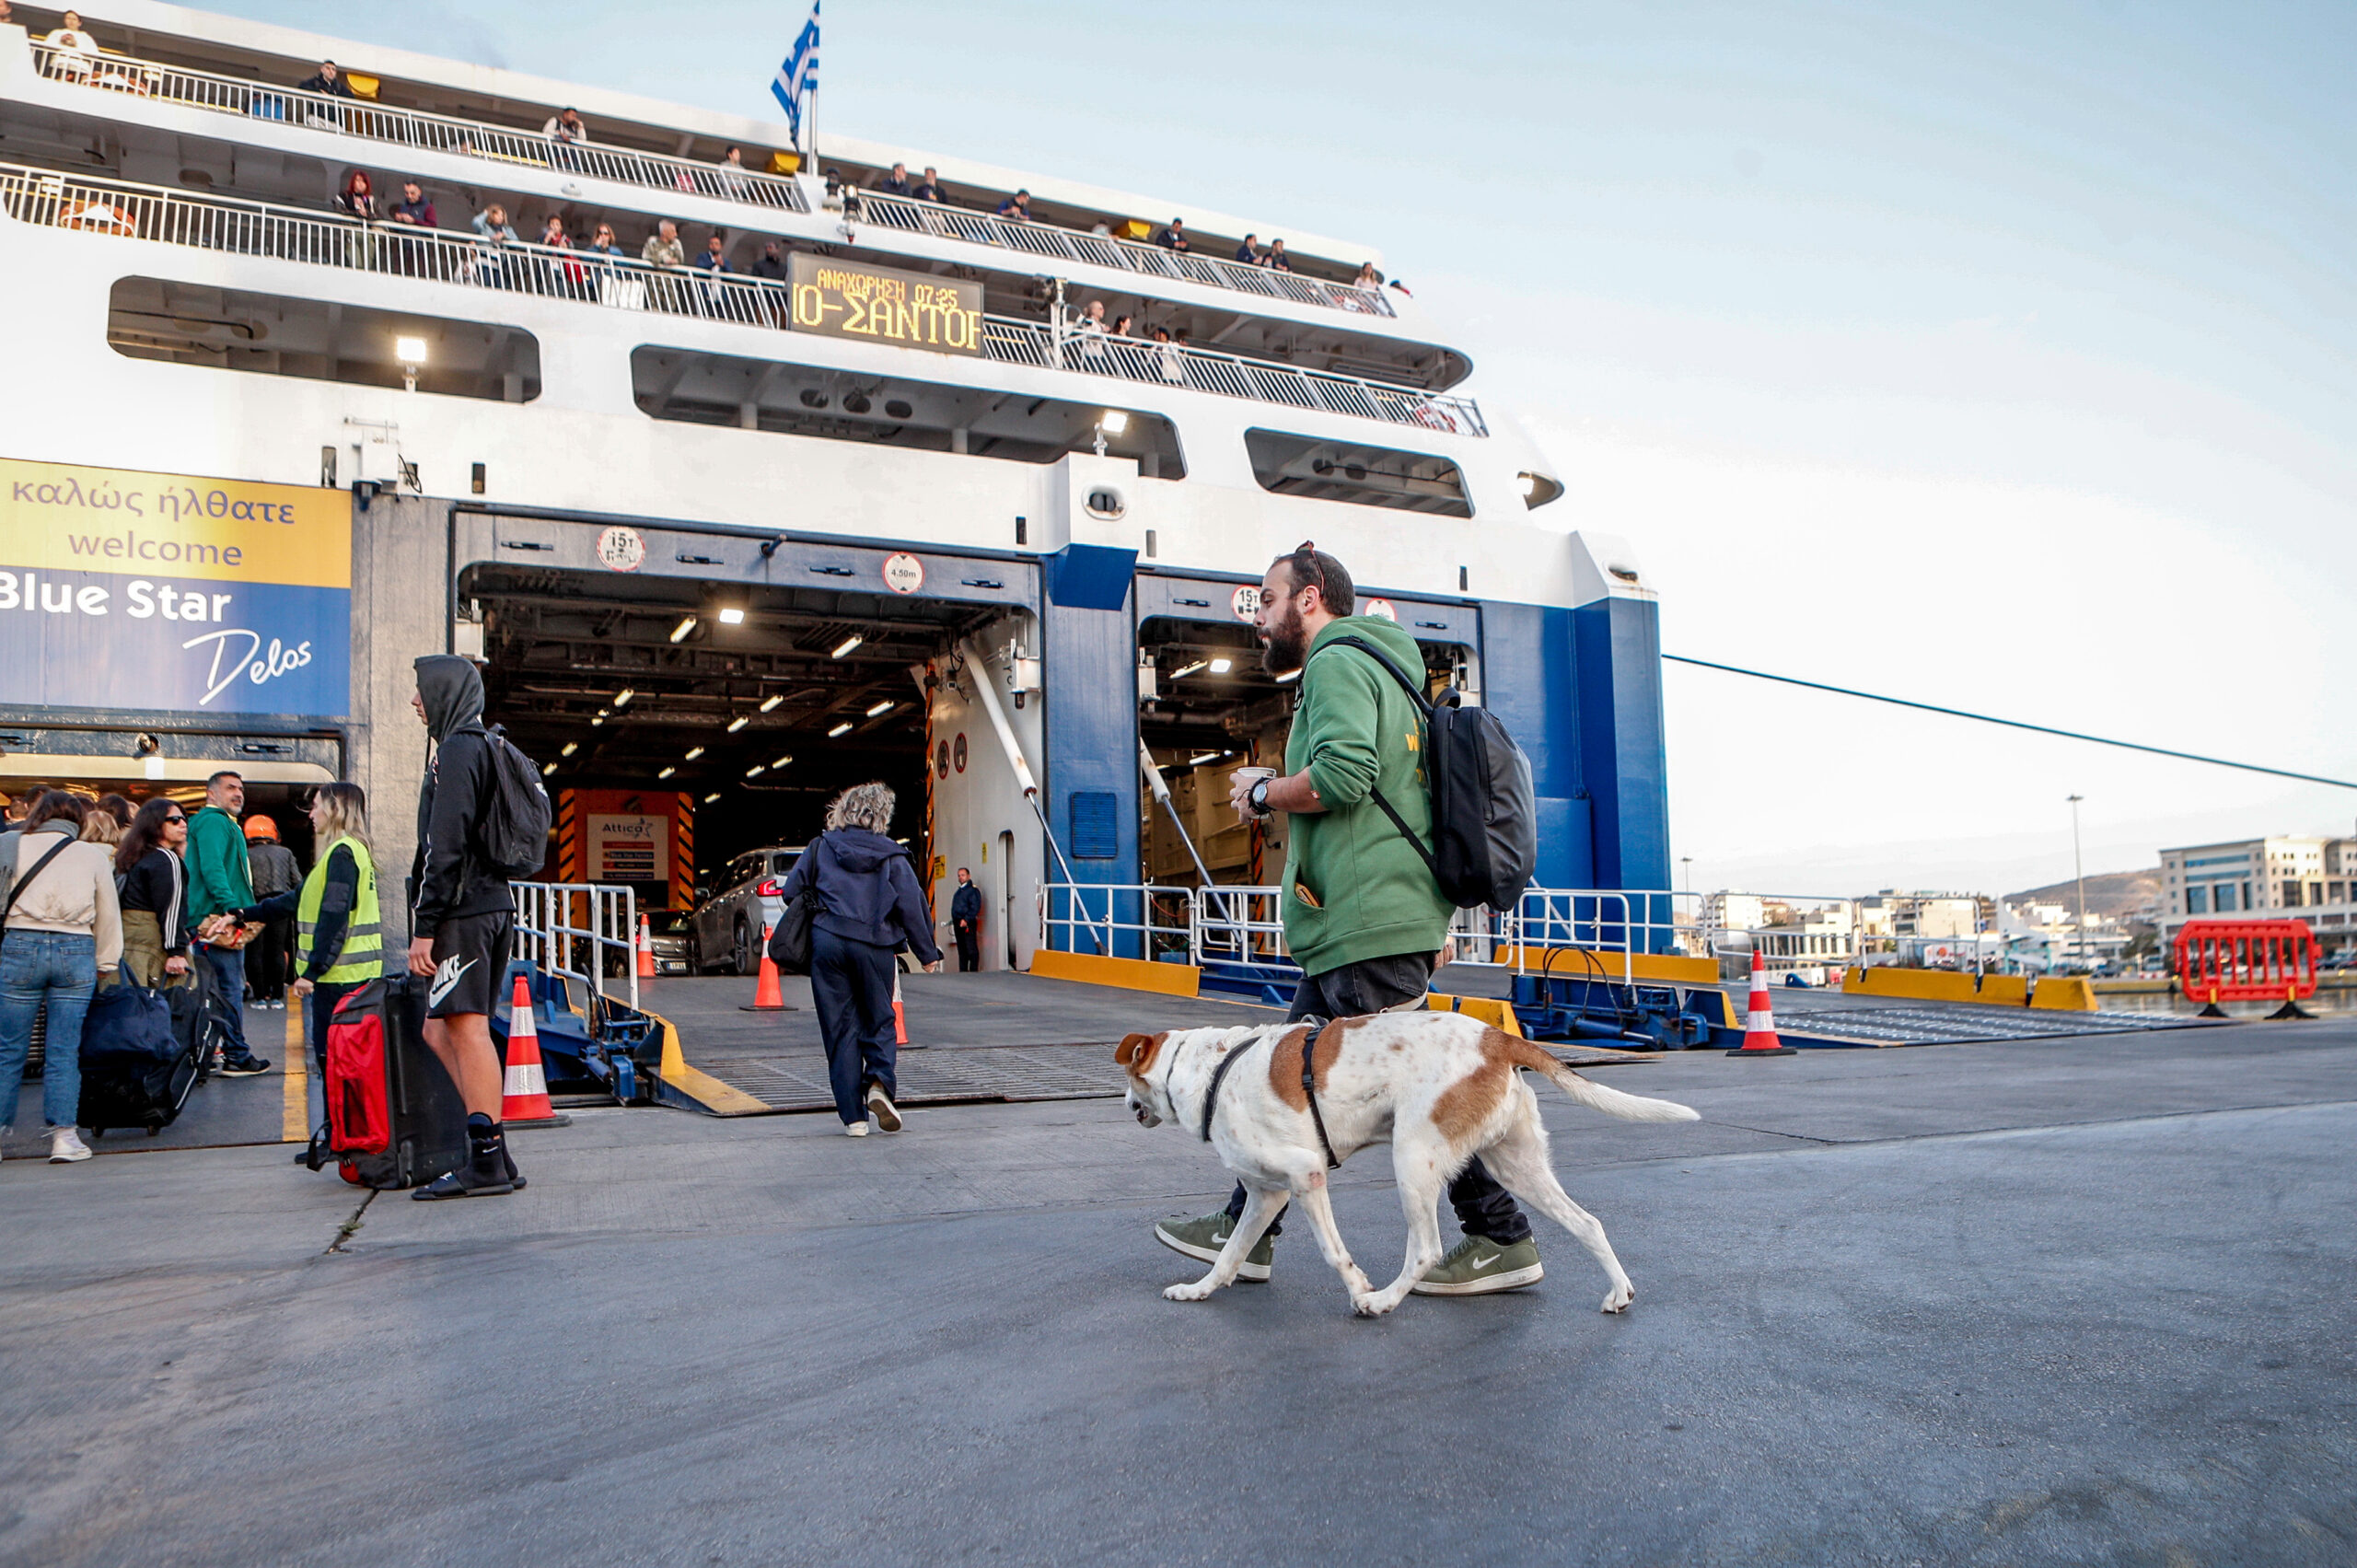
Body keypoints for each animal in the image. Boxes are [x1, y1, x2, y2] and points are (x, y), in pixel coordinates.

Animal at [1121, 1004, 1697, 1310]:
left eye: (1129, 1078)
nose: (1126, 1105)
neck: (1212, 1070)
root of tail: (1497, 1038)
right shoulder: (1267, 1195)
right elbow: (1230, 1255)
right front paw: (1198, 1290)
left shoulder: (1306, 1175)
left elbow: (1334, 1252)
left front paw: (1359, 1288)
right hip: (1516, 1166)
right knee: (1587, 1223)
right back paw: (1619, 1292)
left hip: (1413, 1157)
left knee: (1425, 1250)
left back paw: (1383, 1302)